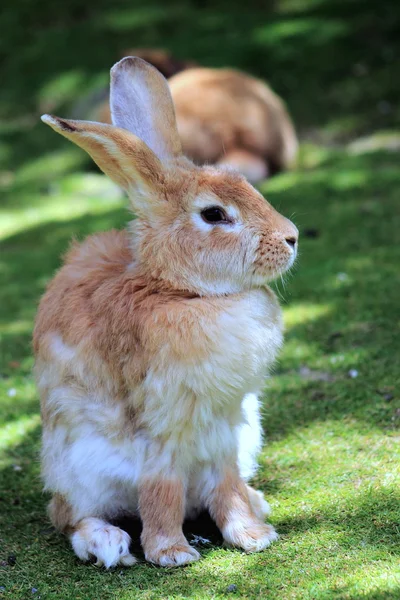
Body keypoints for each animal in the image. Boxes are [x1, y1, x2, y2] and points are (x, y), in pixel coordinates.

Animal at [33, 56, 296, 568]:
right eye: (214, 215)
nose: (292, 236)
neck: (184, 292)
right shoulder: (161, 425)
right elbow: (161, 490)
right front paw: (171, 554)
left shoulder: (225, 428)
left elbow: (226, 485)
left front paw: (253, 536)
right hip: (77, 469)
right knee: (69, 516)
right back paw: (107, 542)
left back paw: (257, 502)